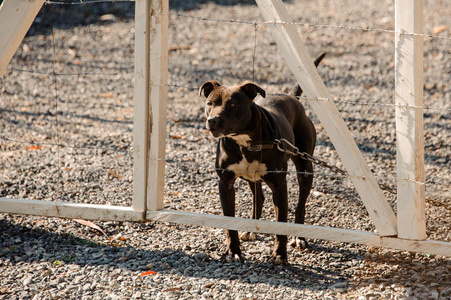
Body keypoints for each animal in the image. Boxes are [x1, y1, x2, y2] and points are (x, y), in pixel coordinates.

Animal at [201, 53, 324, 262]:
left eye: (232, 104)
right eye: (210, 104)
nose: (212, 120)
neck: (245, 141)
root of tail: (291, 97)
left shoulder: (279, 185)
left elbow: (281, 222)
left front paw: (279, 255)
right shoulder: (225, 183)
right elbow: (230, 222)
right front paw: (233, 251)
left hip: (305, 167)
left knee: (301, 202)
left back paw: (299, 237)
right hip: (253, 177)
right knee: (258, 197)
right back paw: (252, 229)